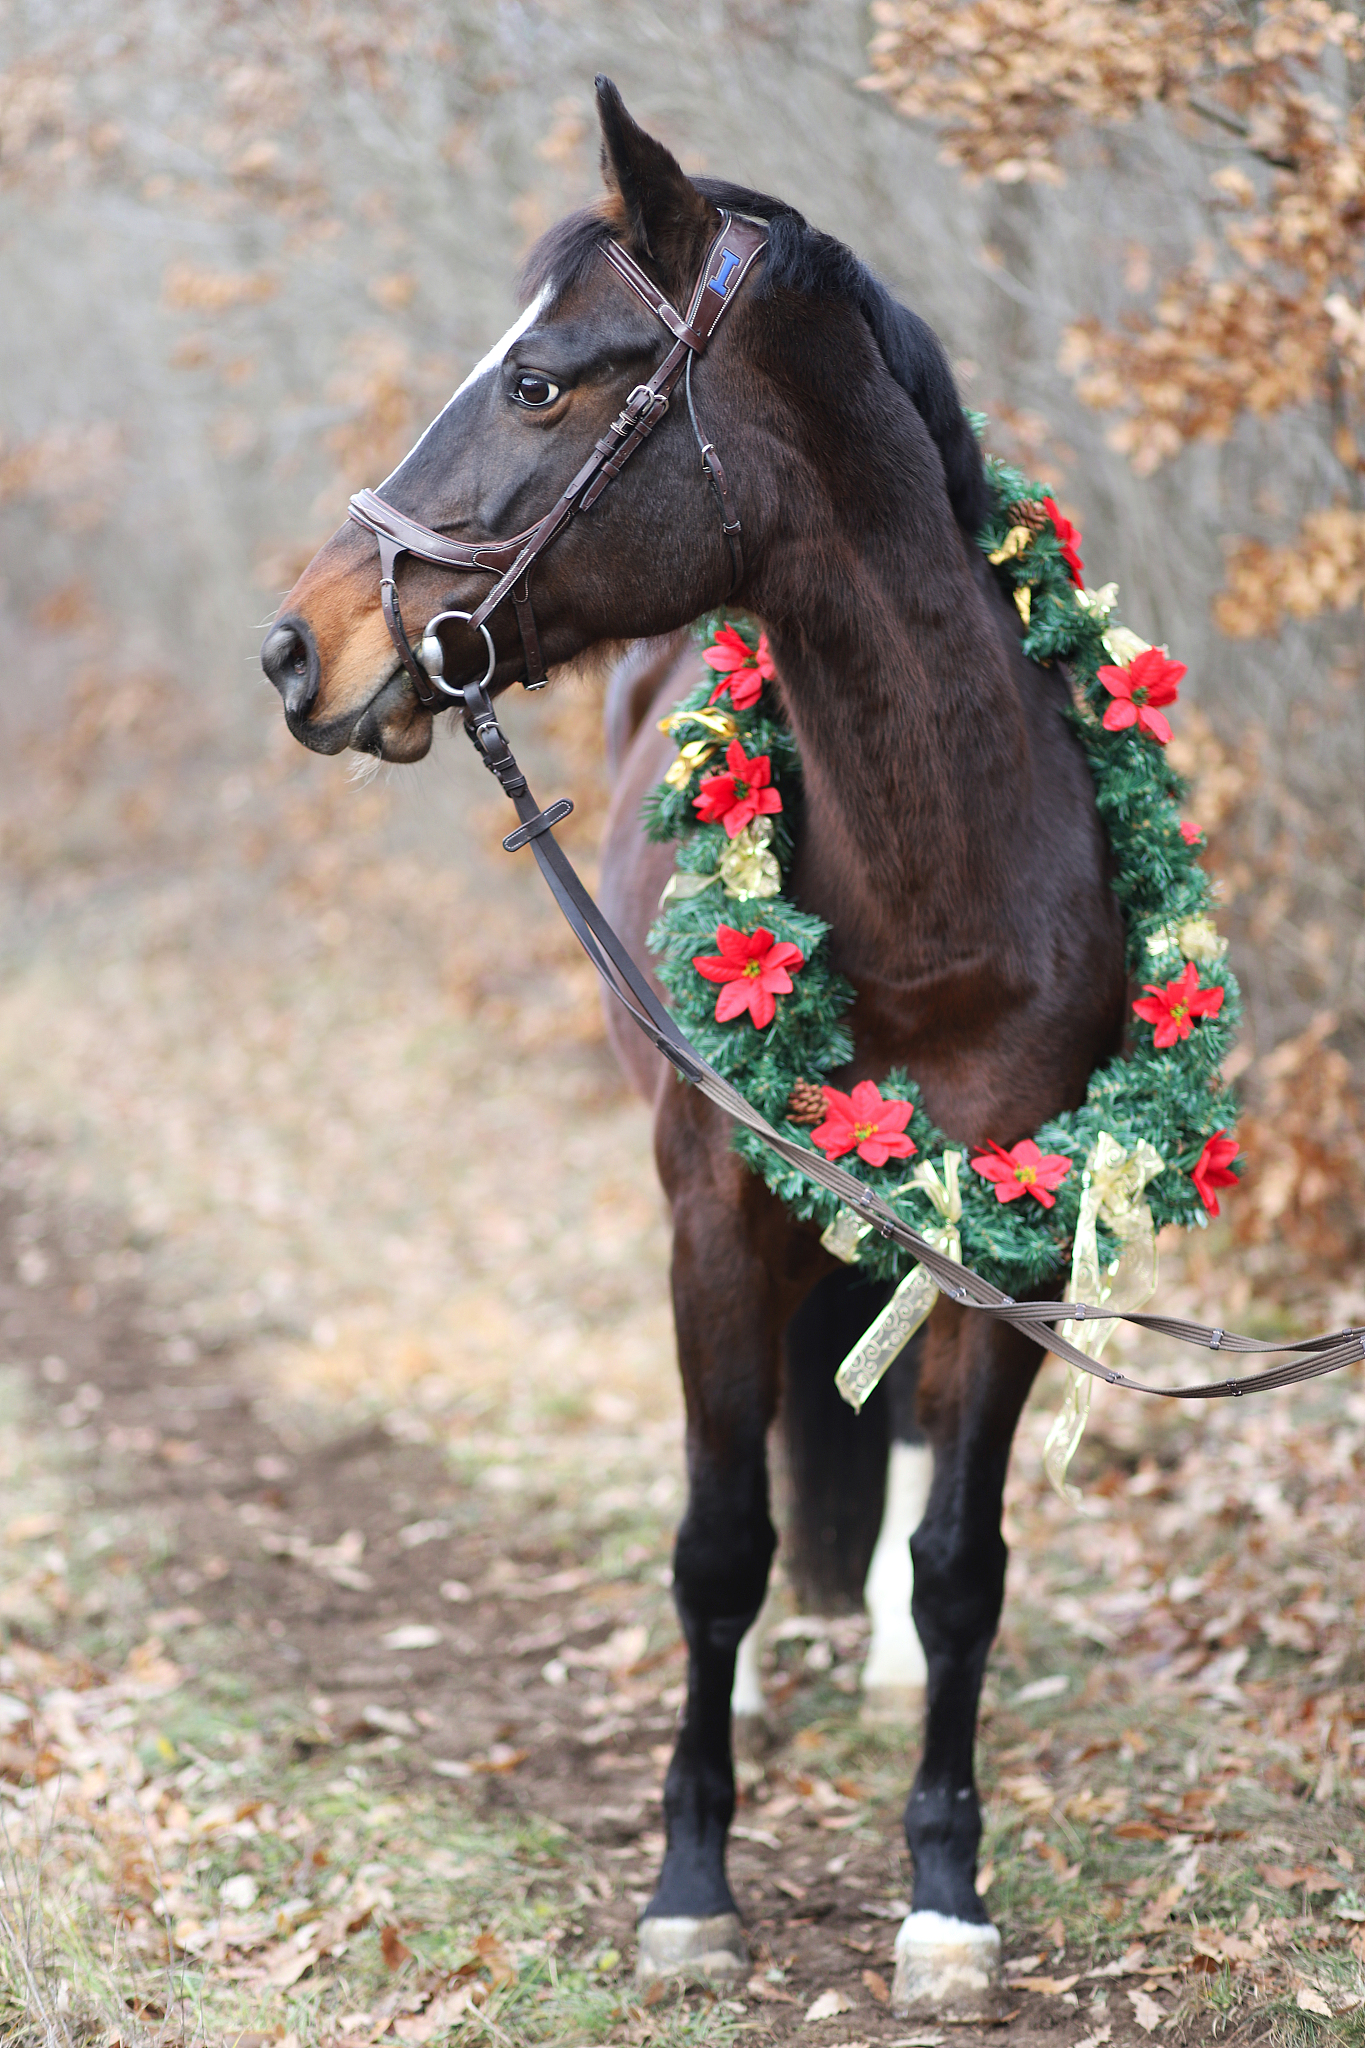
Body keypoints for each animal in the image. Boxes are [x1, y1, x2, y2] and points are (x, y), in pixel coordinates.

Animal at [260, 79, 1126, 2009]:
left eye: (538, 380)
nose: (297, 643)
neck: (945, 895)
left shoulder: (1017, 1239)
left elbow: (962, 1562)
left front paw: (945, 1891)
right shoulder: (712, 1215)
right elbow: (718, 1547)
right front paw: (690, 1885)